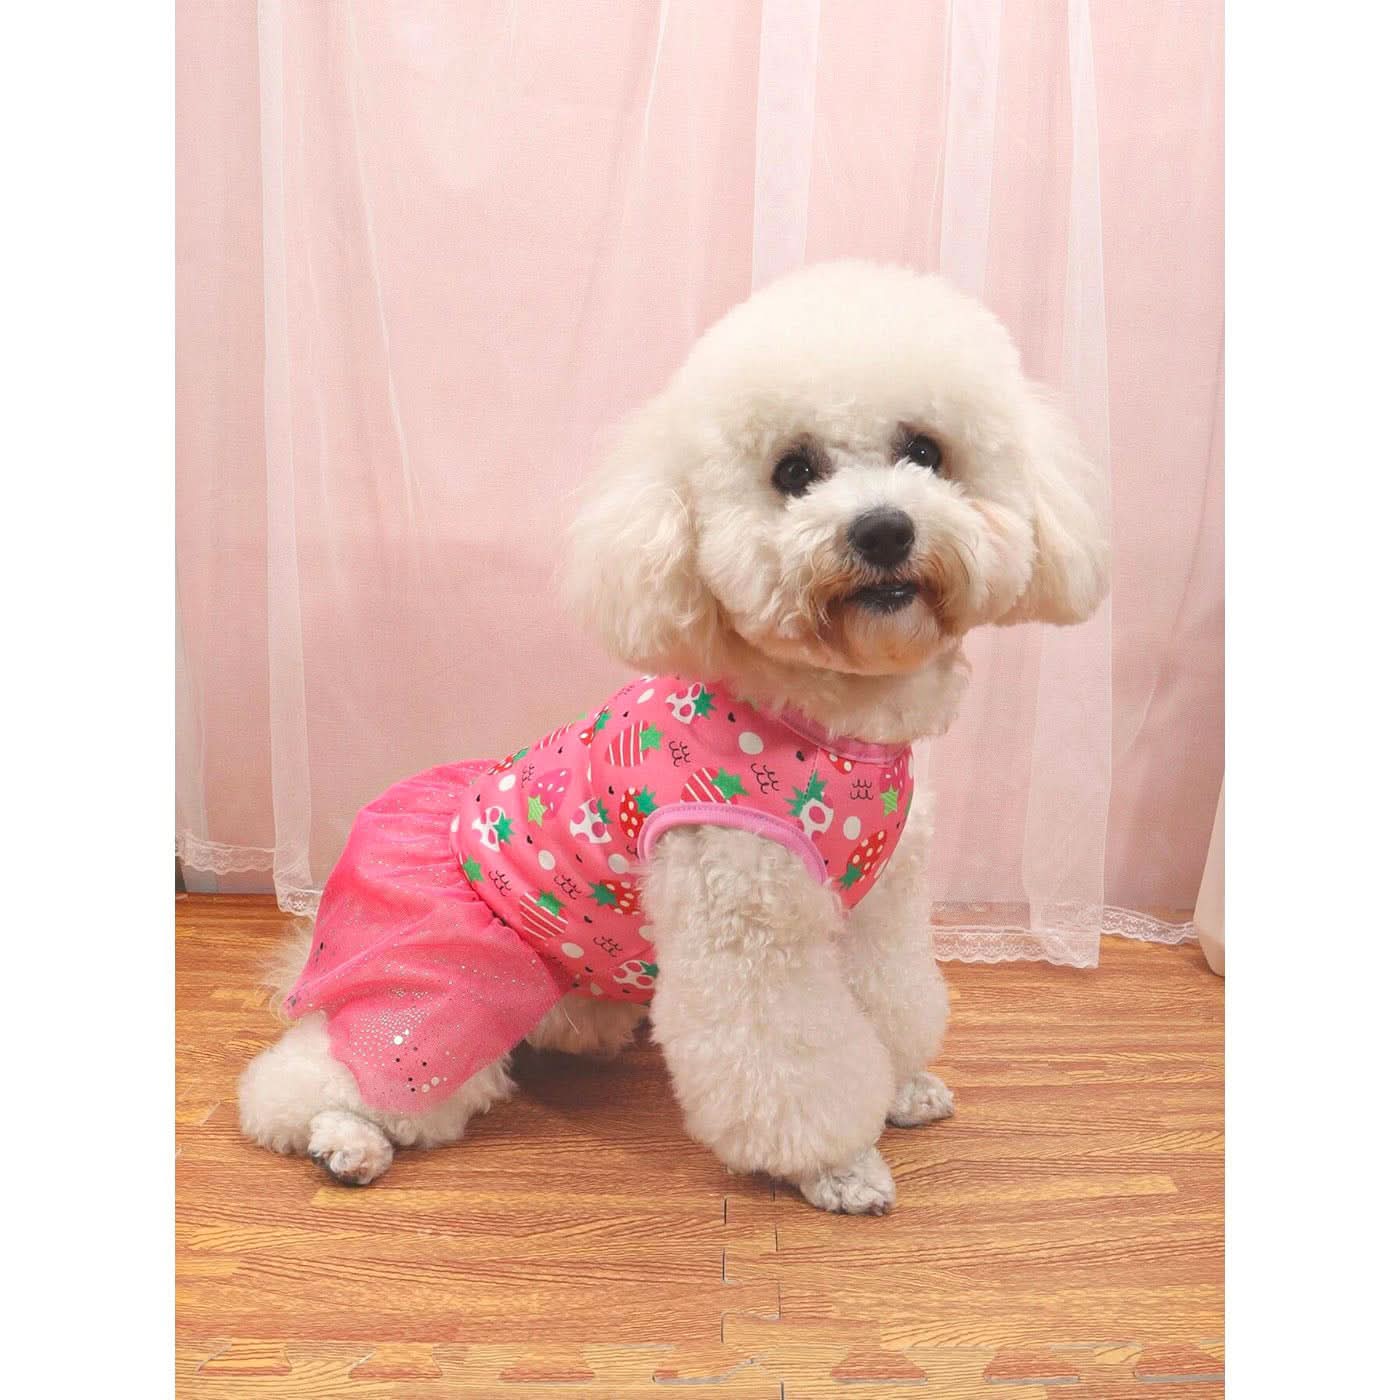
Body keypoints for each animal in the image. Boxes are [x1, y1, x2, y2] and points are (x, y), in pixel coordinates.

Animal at [238, 260, 1108, 1214]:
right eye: (793, 470)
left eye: (925, 452)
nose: (883, 529)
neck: (831, 724)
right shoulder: (744, 927)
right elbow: (791, 1067)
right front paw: (839, 1166)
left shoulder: (880, 907)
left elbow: (890, 1001)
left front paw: (903, 1085)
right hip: (454, 982)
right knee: (326, 1074)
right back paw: (346, 1142)